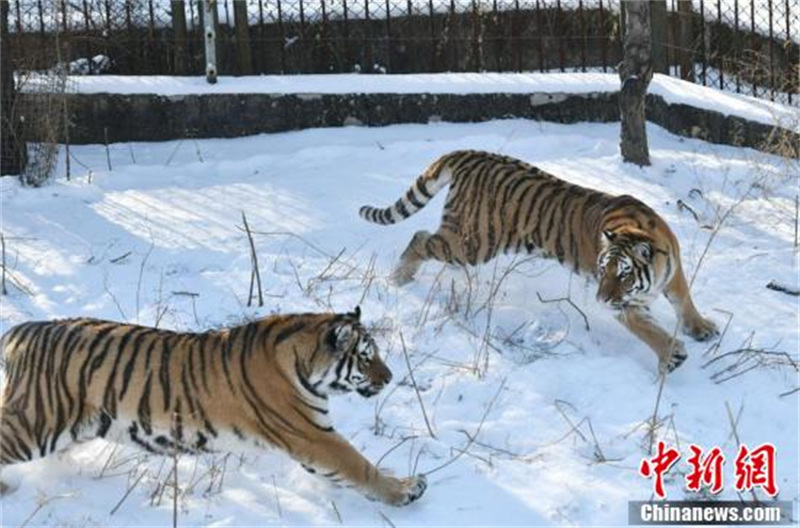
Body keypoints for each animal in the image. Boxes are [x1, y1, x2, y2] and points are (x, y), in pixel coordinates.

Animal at [0, 307, 427, 506]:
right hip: (35, 422)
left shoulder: (311, 438)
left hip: (72, 428)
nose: (390, 377)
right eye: (367, 357)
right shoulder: (311, 434)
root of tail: (24, 329)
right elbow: (359, 465)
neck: (304, 363)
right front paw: (405, 491)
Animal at [359, 150, 718, 373]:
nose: (601, 299)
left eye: (624, 274)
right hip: (472, 244)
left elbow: (685, 301)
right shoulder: (626, 307)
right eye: (603, 271)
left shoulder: (673, 272)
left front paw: (701, 329)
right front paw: (672, 354)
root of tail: (472, 154)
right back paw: (399, 277)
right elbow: (649, 331)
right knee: (421, 238)